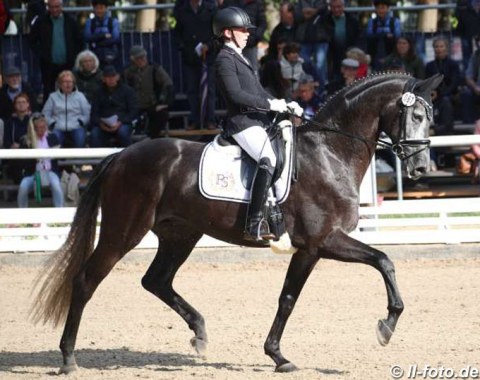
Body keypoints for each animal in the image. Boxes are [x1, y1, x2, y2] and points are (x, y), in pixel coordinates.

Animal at [30, 72, 442, 372]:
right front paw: (385, 327)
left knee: (156, 280)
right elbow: (380, 262)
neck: (330, 153)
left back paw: (199, 333)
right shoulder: (321, 241)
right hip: (123, 231)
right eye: (417, 116)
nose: (421, 169)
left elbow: (291, 297)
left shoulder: (312, 248)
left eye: (430, 118)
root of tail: (121, 155)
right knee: (86, 280)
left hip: (181, 234)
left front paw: (277, 355)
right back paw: (68, 358)